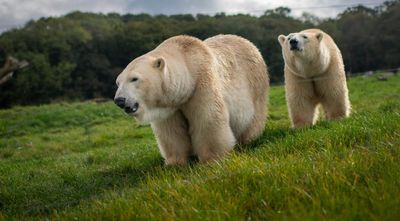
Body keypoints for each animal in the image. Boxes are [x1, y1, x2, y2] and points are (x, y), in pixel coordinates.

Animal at [114, 34, 268, 165]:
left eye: (134, 79)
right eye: (118, 82)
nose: (119, 100)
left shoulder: (201, 84)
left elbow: (208, 119)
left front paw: (212, 159)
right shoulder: (170, 105)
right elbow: (171, 130)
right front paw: (175, 163)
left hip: (255, 86)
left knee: (253, 119)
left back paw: (249, 140)